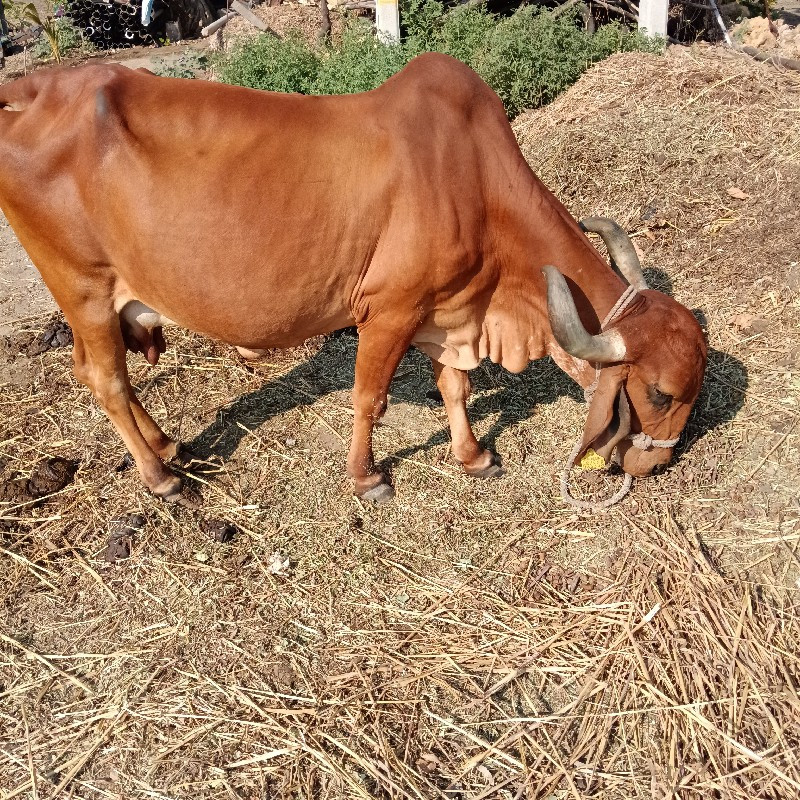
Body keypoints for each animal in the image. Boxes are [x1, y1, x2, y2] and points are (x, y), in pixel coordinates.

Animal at [0, 56, 704, 504]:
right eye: (660, 393)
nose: (658, 461)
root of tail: (32, 88)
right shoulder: (388, 311)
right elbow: (371, 398)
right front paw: (367, 478)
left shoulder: (448, 311)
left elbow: (455, 386)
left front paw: (472, 455)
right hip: (84, 287)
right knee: (105, 378)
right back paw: (159, 476)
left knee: (100, 376)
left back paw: (166, 444)